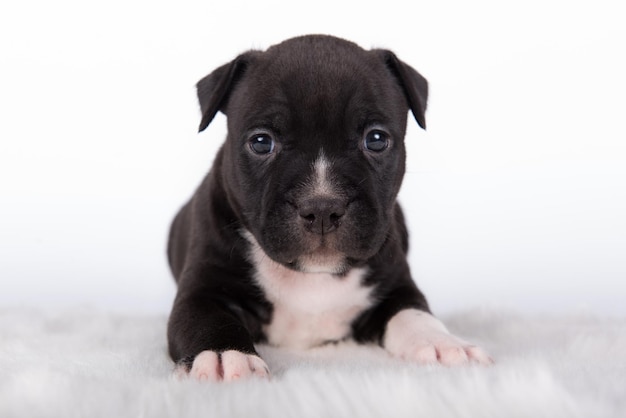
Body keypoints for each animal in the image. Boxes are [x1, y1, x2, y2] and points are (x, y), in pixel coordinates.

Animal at [168, 35, 490, 382]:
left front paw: (444, 344)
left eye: (376, 139)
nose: (322, 207)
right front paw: (225, 356)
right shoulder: (203, 291)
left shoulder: (396, 287)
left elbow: (415, 314)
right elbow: (208, 320)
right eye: (261, 142)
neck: (312, 275)